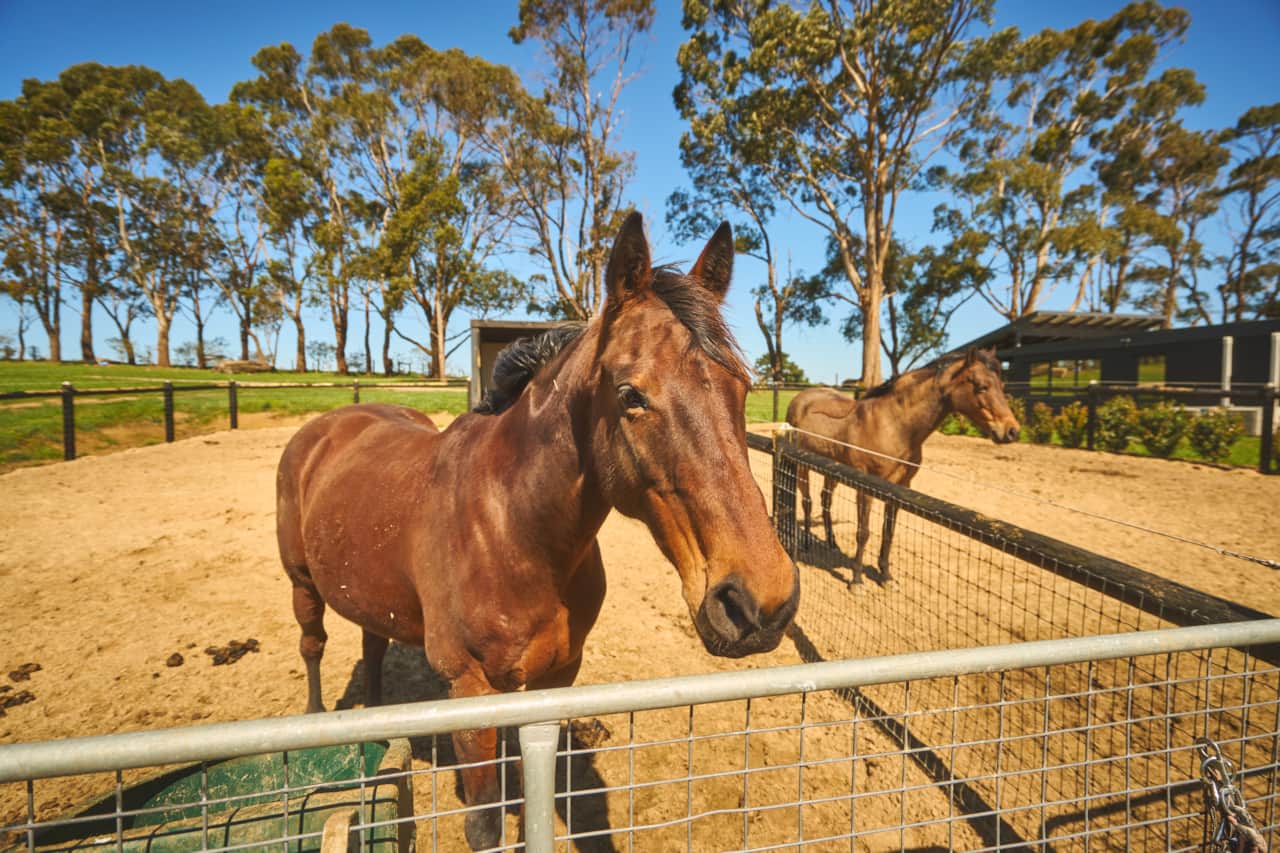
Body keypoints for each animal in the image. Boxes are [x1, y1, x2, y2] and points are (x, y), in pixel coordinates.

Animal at [275, 212, 799, 850]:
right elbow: (484, 821)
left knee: (372, 644)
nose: (760, 603)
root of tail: (328, 424)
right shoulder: (470, 690)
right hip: (302, 583)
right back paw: (315, 719)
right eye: (630, 394)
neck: (511, 529)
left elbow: (532, 799)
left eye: (742, 389)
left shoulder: (554, 678)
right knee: (312, 644)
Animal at [784, 348, 1020, 585]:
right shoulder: (865, 486)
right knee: (807, 502)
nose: (1012, 431)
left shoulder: (900, 486)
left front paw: (886, 576)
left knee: (826, 501)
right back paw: (806, 544)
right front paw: (857, 578)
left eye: (1002, 386)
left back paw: (832, 542)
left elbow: (888, 531)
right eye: (981, 386)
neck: (892, 426)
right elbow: (863, 531)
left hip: (831, 470)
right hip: (802, 466)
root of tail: (800, 400)